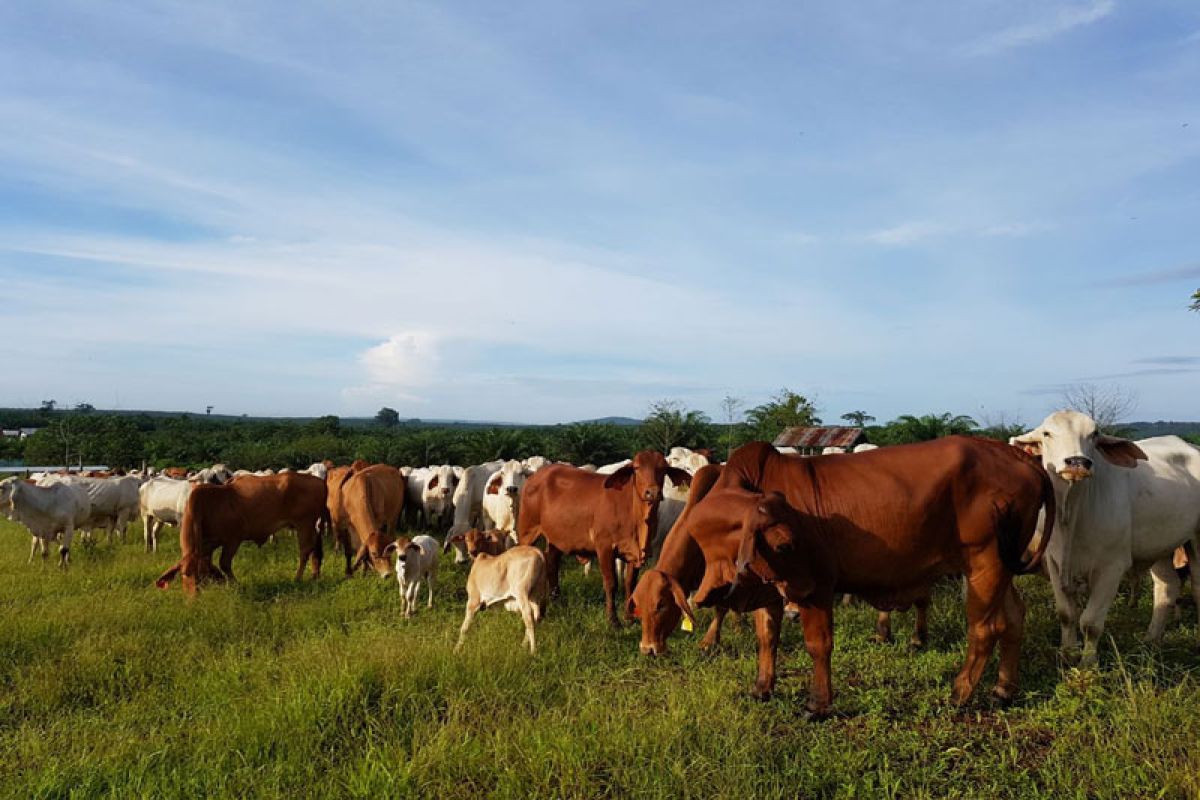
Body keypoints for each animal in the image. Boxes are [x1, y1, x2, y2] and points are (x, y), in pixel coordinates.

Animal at [157, 472, 333, 597]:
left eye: (201, 576)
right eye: (185, 574)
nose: (193, 598)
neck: (205, 507)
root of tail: (320, 481)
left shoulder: (233, 539)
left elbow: (224, 563)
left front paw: (235, 585)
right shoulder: (207, 546)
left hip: (304, 524)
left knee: (305, 551)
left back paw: (297, 578)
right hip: (311, 526)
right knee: (315, 549)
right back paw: (315, 575)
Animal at [518, 450, 696, 623]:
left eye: (663, 468)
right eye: (637, 468)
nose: (652, 492)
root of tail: (535, 476)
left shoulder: (635, 554)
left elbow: (630, 583)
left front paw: (629, 617)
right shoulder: (604, 548)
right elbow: (611, 583)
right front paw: (613, 620)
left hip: (555, 538)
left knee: (552, 564)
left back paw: (557, 601)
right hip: (528, 532)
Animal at [652, 441, 1056, 714]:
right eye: (781, 543)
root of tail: (1019, 456)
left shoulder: (817, 588)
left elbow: (818, 645)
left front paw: (818, 705)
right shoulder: (770, 590)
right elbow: (767, 638)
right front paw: (762, 688)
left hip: (984, 563)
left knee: (984, 629)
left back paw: (960, 693)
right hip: (1000, 568)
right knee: (1013, 619)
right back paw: (1004, 689)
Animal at [1017, 410, 1200, 666]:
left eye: (1094, 434)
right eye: (1047, 433)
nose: (1077, 462)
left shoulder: (1112, 567)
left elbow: (1090, 622)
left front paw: (1087, 665)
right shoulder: (1054, 563)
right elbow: (1066, 615)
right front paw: (1067, 654)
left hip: (1196, 538)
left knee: (1197, 588)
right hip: (1159, 545)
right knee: (1168, 586)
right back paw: (1151, 640)